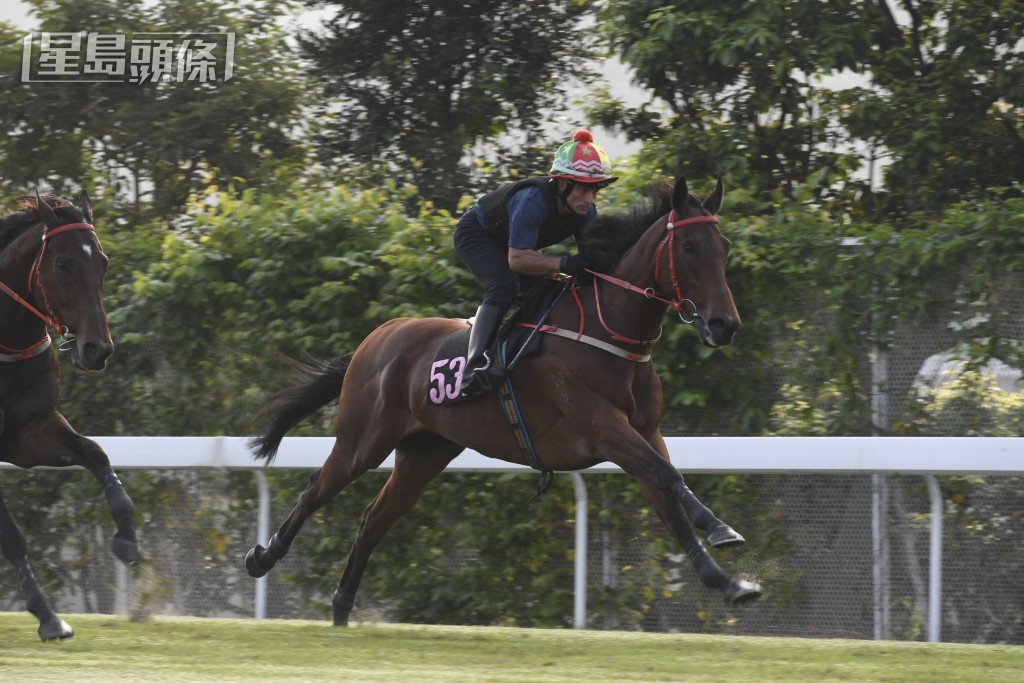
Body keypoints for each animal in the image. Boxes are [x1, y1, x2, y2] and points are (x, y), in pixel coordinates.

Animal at [0, 192, 137, 641]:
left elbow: (95, 454)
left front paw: (127, 537)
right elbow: (12, 537)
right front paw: (48, 616)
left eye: (103, 261)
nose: (97, 349)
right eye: (61, 263)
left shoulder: (27, 435)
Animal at [245, 176, 762, 625]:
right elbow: (669, 477)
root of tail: (376, 338)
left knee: (373, 520)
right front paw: (722, 530)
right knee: (316, 489)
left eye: (724, 247)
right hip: (362, 441)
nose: (724, 325)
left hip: (424, 452)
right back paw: (262, 558)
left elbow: (668, 500)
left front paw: (729, 580)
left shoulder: (645, 432)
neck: (608, 332)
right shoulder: (603, 428)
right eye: (689, 248)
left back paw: (340, 608)